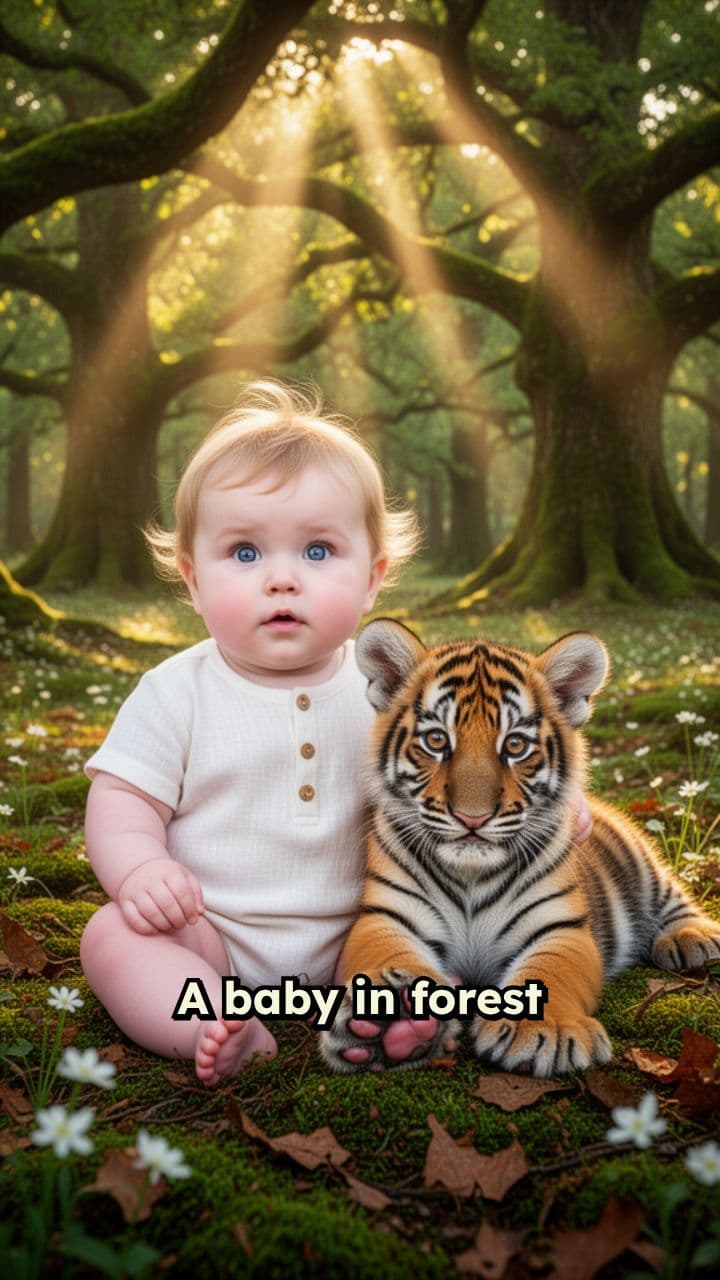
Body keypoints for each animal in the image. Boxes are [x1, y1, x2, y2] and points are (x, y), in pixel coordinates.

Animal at [320, 619, 720, 1077]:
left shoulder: (560, 926)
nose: (472, 817)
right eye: (437, 740)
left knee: (674, 896)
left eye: (515, 745)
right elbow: (384, 954)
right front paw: (390, 1025)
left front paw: (545, 1032)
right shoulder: (385, 917)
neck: (470, 875)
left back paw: (692, 938)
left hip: (642, 859)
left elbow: (549, 974)